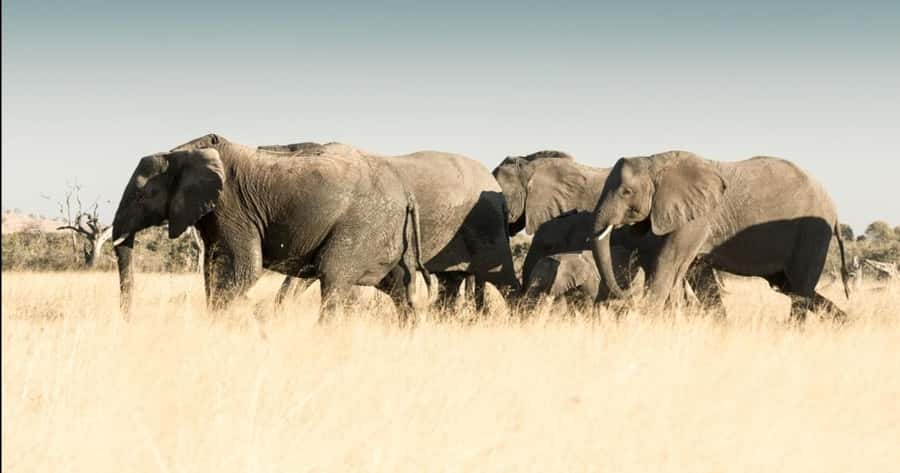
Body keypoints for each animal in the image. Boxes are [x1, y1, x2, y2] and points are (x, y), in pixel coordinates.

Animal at [111, 133, 431, 323]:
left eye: (142, 196)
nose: (129, 323)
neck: (183, 151)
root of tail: (408, 194)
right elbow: (212, 270)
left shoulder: (232, 205)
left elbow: (244, 269)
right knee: (400, 290)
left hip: (363, 226)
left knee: (333, 277)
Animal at [590, 150, 851, 322]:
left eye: (626, 191)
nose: (624, 297)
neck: (654, 160)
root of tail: (835, 209)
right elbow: (689, 271)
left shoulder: (698, 217)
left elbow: (667, 262)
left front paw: (648, 320)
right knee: (790, 286)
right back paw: (847, 323)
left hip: (812, 233)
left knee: (800, 289)